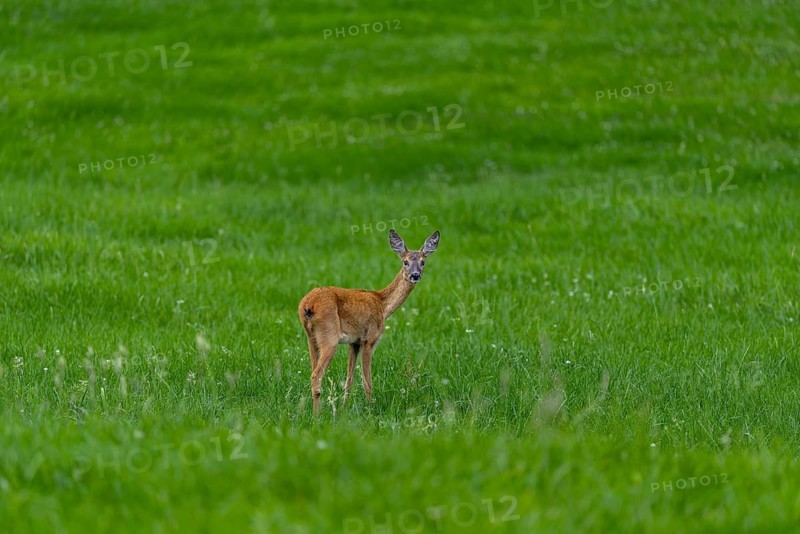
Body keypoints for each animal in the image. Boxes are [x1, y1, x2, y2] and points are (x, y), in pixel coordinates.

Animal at [298, 229, 440, 414]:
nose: (415, 275)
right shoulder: (369, 339)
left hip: (311, 338)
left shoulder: (354, 342)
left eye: (423, 262)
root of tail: (308, 305)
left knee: (313, 370)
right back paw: (317, 415)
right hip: (329, 336)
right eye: (405, 262)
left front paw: (344, 408)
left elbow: (349, 380)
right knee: (316, 375)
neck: (382, 305)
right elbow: (367, 382)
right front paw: (370, 409)